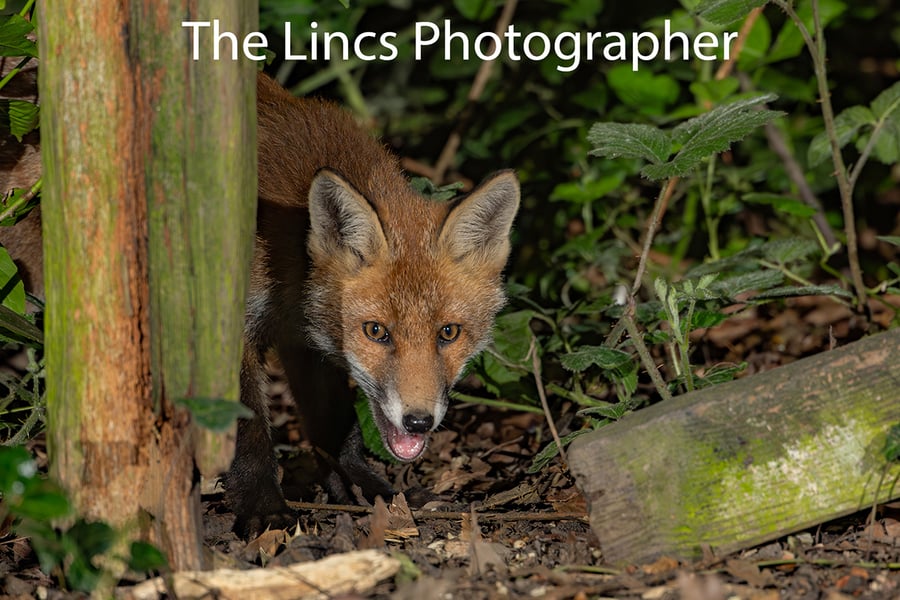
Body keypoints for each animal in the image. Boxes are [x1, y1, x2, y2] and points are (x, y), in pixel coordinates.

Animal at [0, 72, 520, 537]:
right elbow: (246, 429)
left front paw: (366, 487)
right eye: (377, 331)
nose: (419, 420)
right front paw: (263, 506)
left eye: (448, 333)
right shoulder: (225, 327)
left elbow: (336, 422)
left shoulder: (305, 339)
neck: (288, 253)